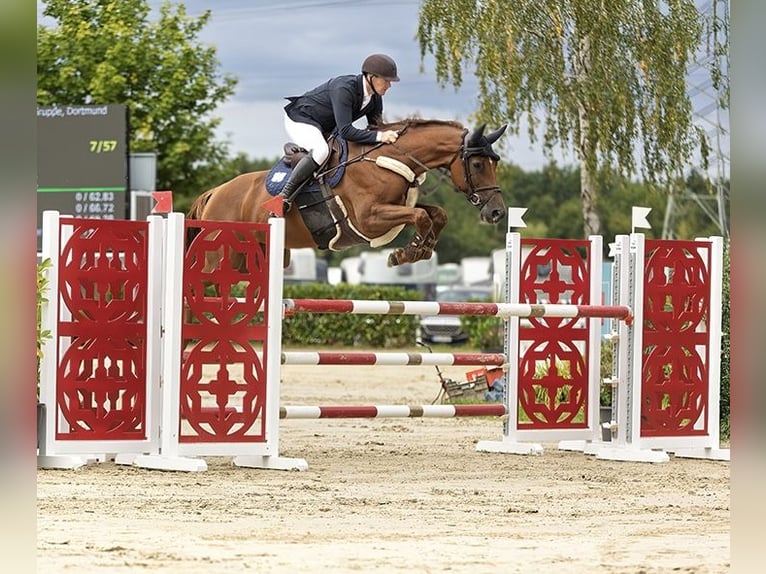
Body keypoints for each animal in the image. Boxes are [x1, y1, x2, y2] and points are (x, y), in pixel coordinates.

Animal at [186, 118, 507, 269]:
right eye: (478, 164)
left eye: (495, 163)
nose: (497, 212)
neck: (390, 159)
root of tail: (214, 192)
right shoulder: (368, 219)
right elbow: (420, 216)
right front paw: (407, 252)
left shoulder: (395, 207)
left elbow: (436, 214)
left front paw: (421, 250)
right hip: (222, 256)